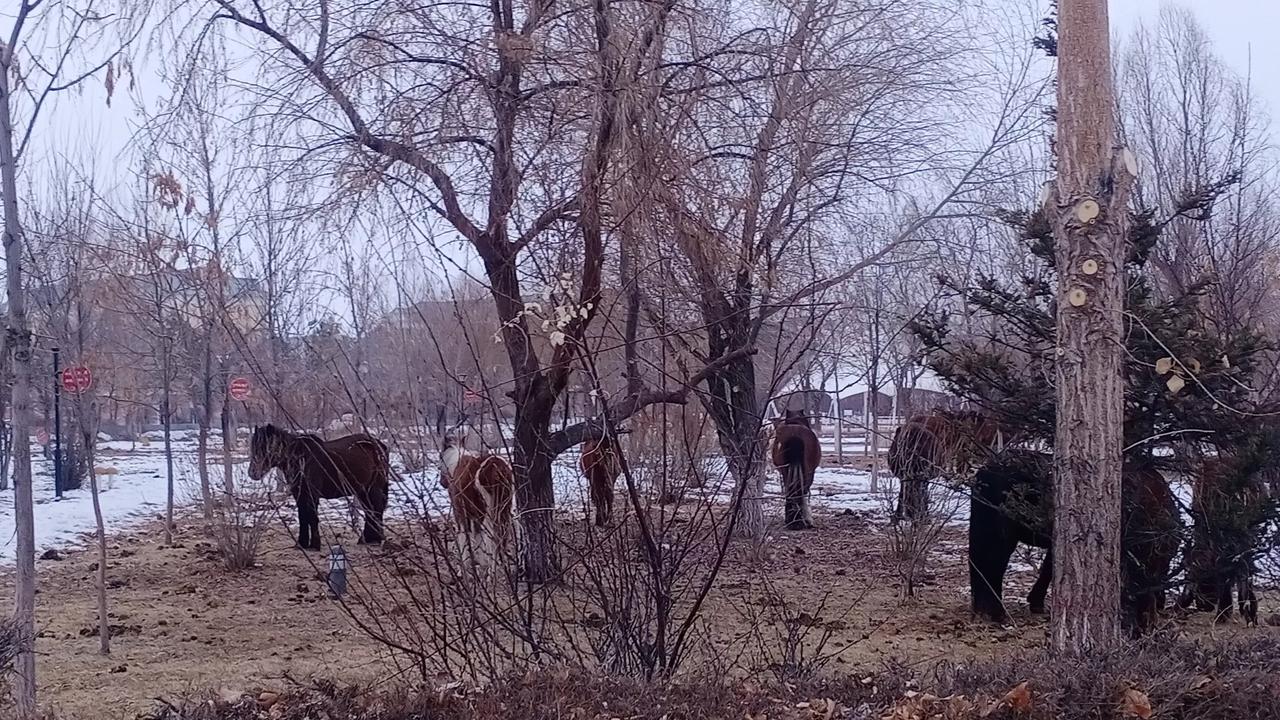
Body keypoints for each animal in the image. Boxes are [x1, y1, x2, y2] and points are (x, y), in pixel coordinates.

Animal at [245, 420, 389, 548]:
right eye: (253, 447)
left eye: (267, 446)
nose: (253, 472)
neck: (301, 458)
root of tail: (379, 445)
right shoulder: (299, 494)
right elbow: (303, 517)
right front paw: (301, 544)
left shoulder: (312, 494)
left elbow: (312, 517)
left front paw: (315, 544)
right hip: (363, 490)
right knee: (370, 511)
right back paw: (366, 539)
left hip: (374, 487)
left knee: (376, 510)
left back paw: (375, 539)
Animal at [440, 427, 514, 568]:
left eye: (440, 456)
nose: (442, 482)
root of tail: (498, 469)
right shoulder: (475, 516)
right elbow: (478, 540)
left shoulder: (460, 512)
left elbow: (464, 538)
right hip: (505, 509)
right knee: (504, 536)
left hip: (488, 512)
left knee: (493, 539)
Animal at [967, 450, 1177, 630]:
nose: (1159, 605)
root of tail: (985, 472)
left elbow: (1048, 569)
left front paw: (1036, 602)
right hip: (1001, 535)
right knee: (992, 567)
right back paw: (996, 612)